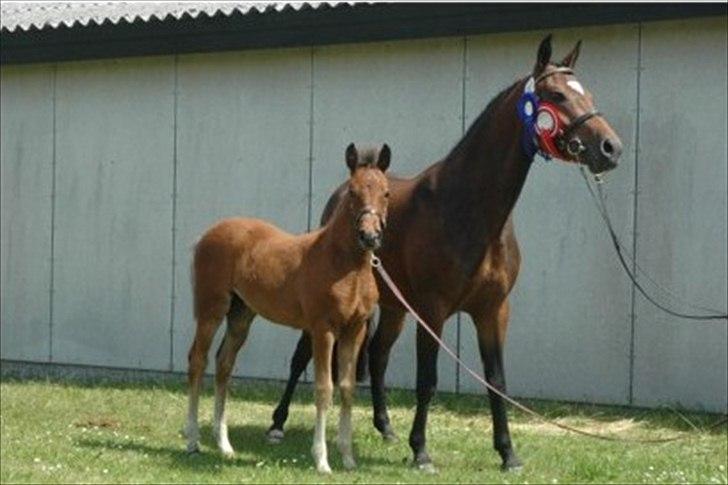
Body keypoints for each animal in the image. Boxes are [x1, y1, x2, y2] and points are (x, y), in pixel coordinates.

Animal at [186, 142, 392, 470]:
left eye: (386, 192)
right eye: (352, 192)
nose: (369, 236)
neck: (345, 266)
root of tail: (206, 234)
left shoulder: (355, 330)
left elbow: (347, 389)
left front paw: (348, 458)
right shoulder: (323, 329)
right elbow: (324, 389)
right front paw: (322, 461)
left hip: (241, 314)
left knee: (223, 364)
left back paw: (224, 445)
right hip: (211, 310)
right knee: (198, 360)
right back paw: (193, 441)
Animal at [264, 35, 624, 468]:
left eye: (588, 94)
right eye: (556, 95)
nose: (610, 148)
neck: (469, 210)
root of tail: (340, 193)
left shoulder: (493, 310)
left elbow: (496, 380)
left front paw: (508, 453)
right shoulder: (432, 311)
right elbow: (428, 381)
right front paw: (421, 451)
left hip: (394, 307)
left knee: (379, 356)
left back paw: (385, 428)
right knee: (302, 355)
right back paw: (277, 424)